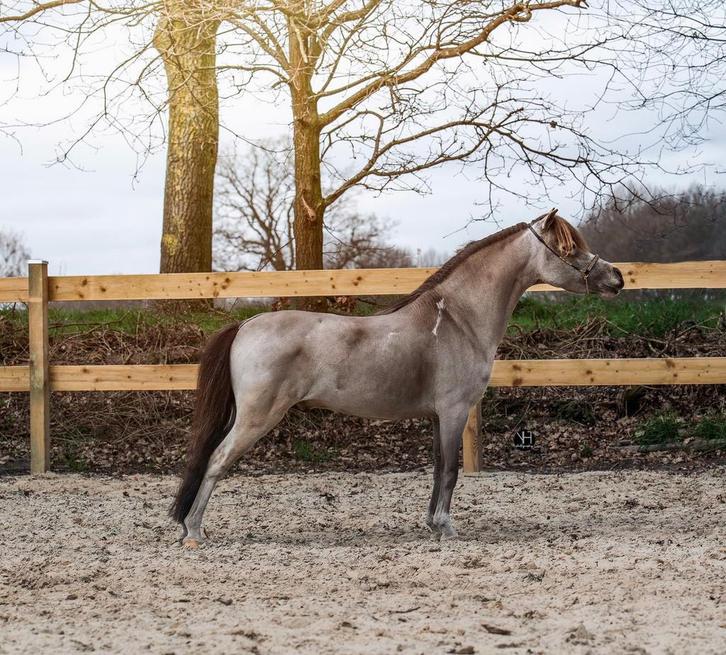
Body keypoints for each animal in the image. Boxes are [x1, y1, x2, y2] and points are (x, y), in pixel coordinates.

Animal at [170, 209, 624, 547]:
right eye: (569, 248)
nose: (616, 278)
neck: (458, 318)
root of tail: (245, 325)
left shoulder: (438, 416)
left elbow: (439, 467)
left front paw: (433, 523)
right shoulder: (454, 411)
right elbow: (451, 470)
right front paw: (447, 527)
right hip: (257, 417)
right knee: (217, 459)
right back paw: (194, 531)